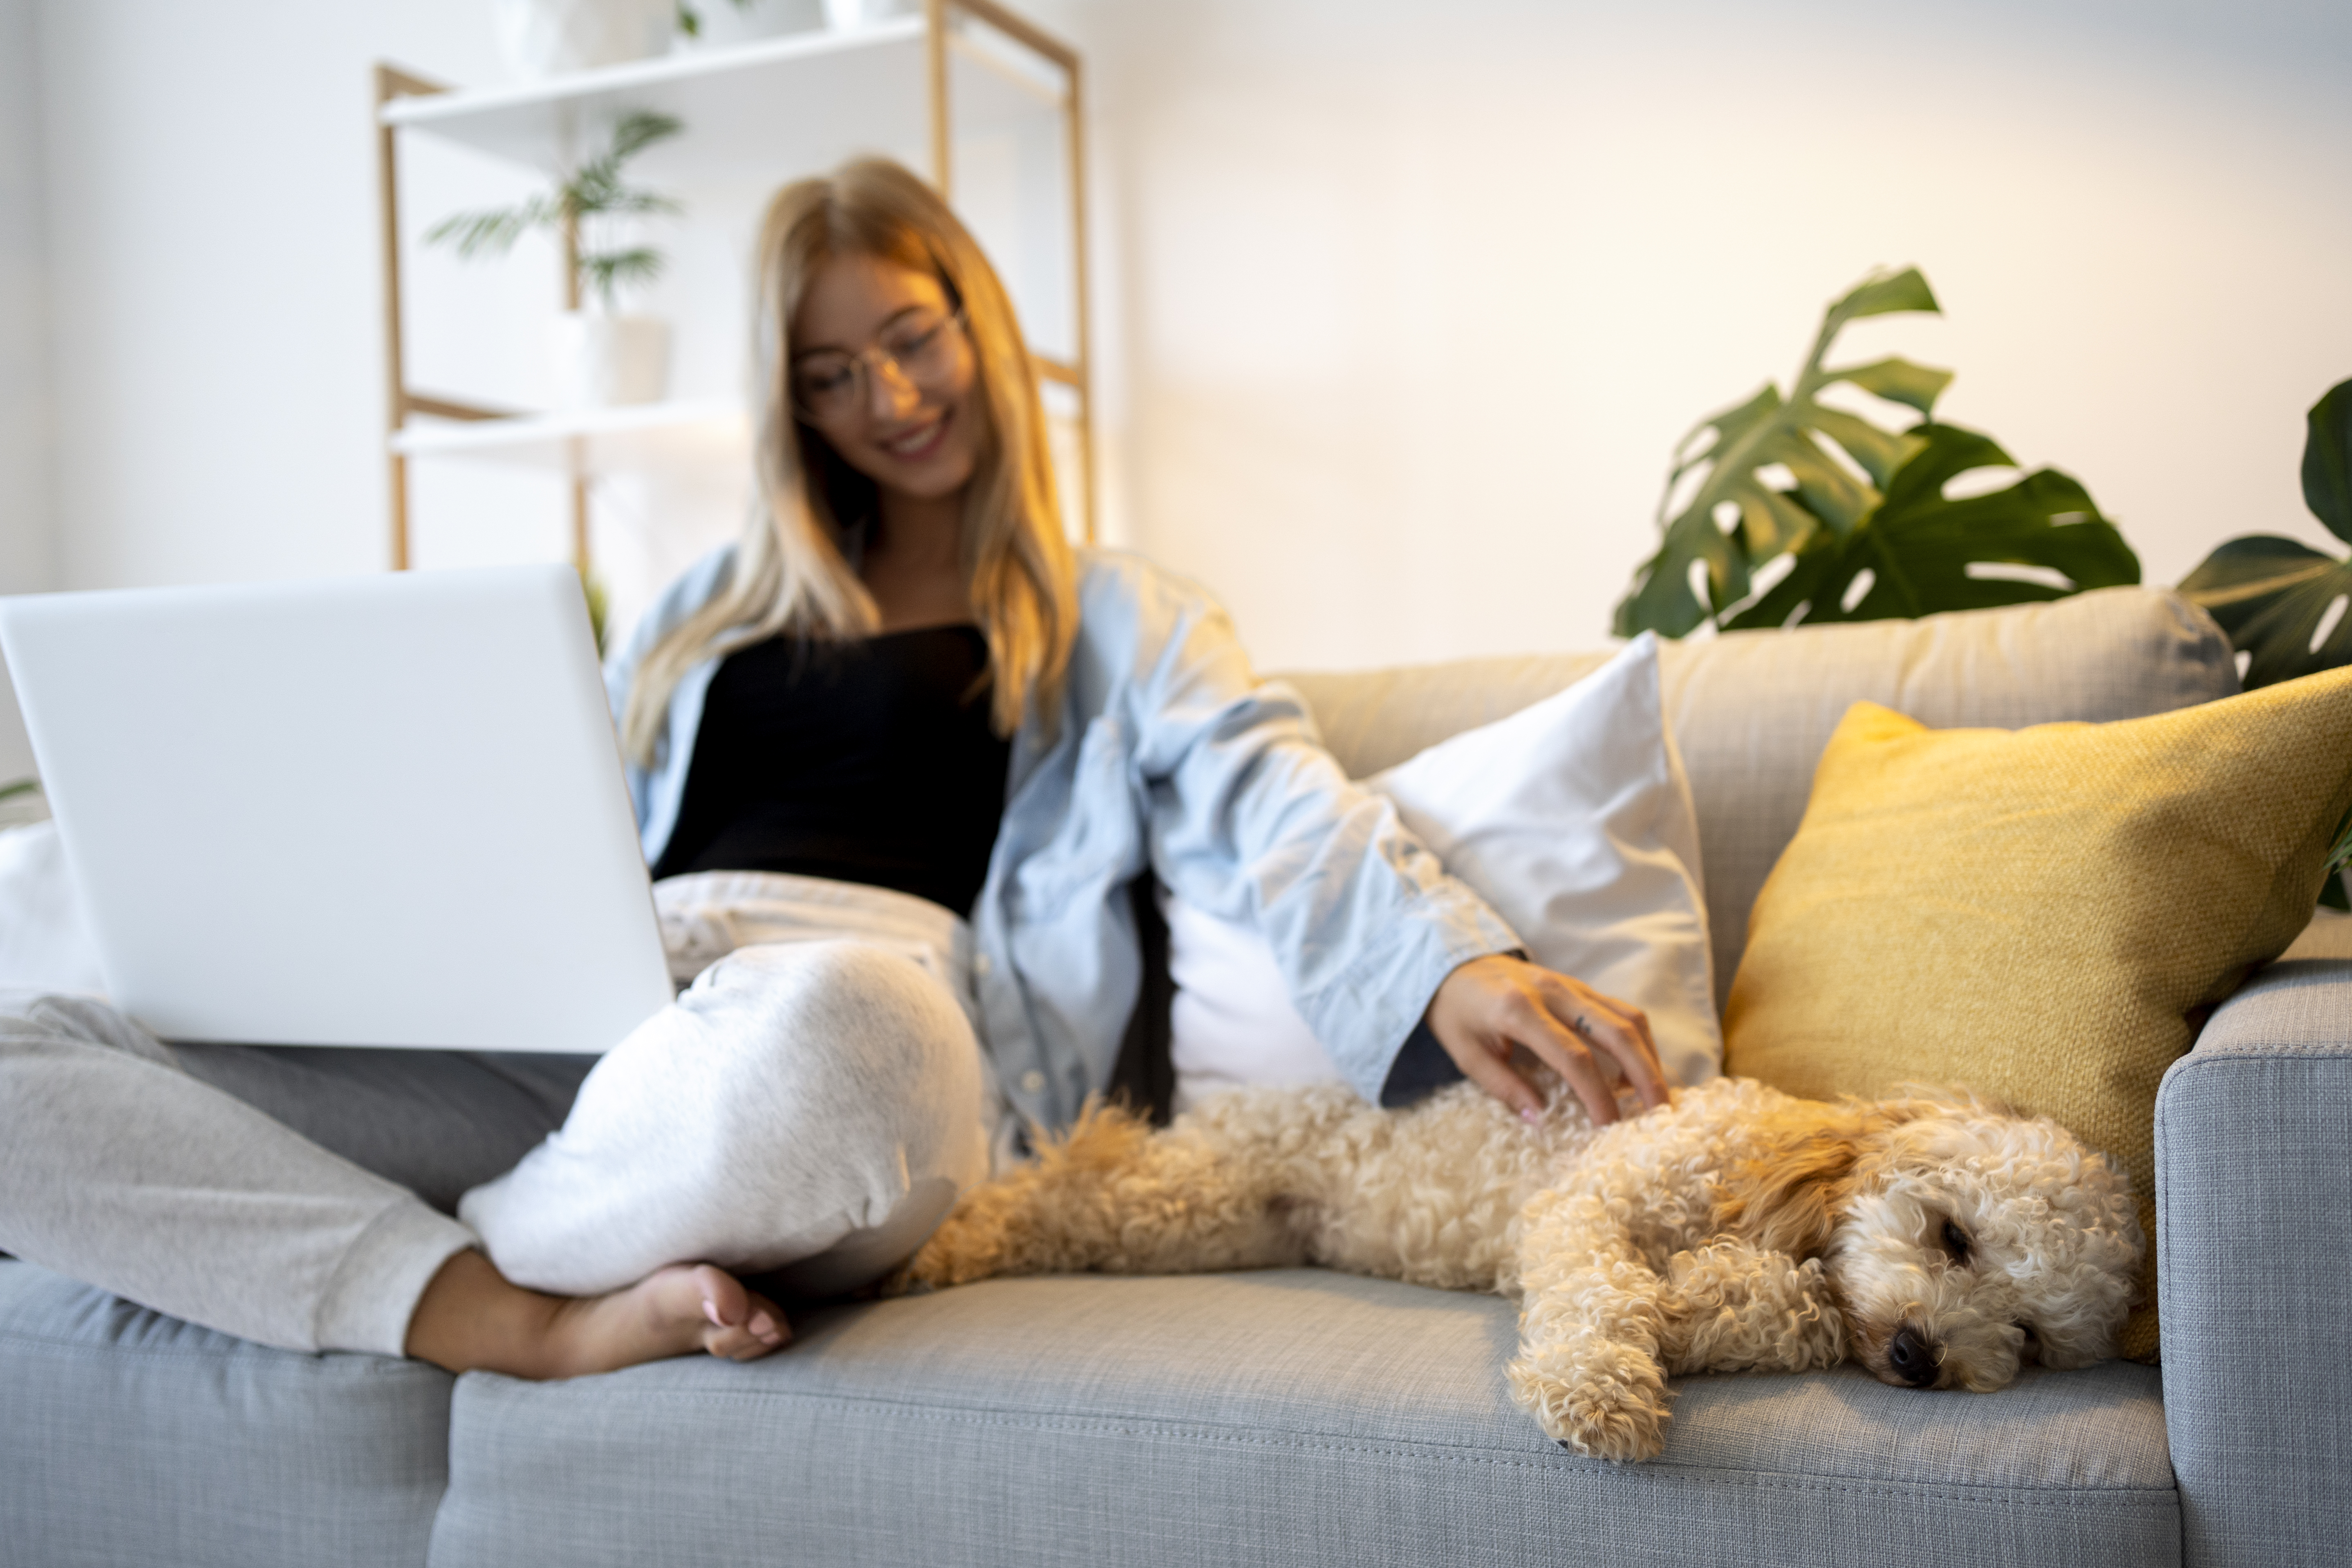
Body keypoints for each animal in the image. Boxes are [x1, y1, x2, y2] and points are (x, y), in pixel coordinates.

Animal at [898, 1081, 2154, 1457]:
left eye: (2031, 1338)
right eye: (1953, 1235)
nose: (1918, 1355)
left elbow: (1775, 1305)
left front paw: (1700, 1302)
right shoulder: (1585, 1203)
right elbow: (1604, 1292)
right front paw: (1602, 1389)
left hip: (1216, 1227)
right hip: (1194, 1193)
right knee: (1051, 1193)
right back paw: (939, 1246)